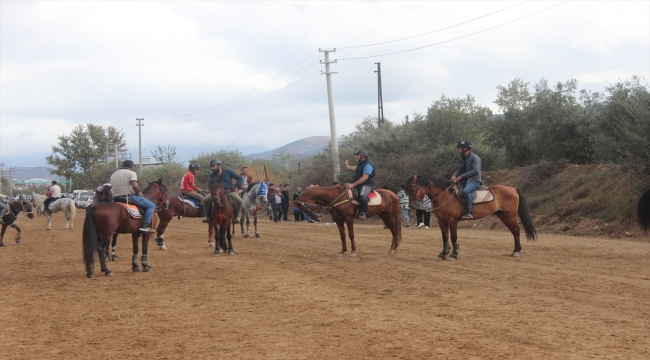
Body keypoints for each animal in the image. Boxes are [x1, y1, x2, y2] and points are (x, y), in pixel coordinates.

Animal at [402, 174, 536, 258]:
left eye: (413, 189)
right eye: (407, 191)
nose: (412, 206)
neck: (444, 195)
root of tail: (513, 189)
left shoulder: (452, 221)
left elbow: (453, 237)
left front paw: (454, 254)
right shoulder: (442, 221)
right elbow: (445, 237)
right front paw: (444, 253)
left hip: (510, 215)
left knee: (517, 230)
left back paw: (517, 251)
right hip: (503, 216)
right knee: (514, 231)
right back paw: (515, 250)